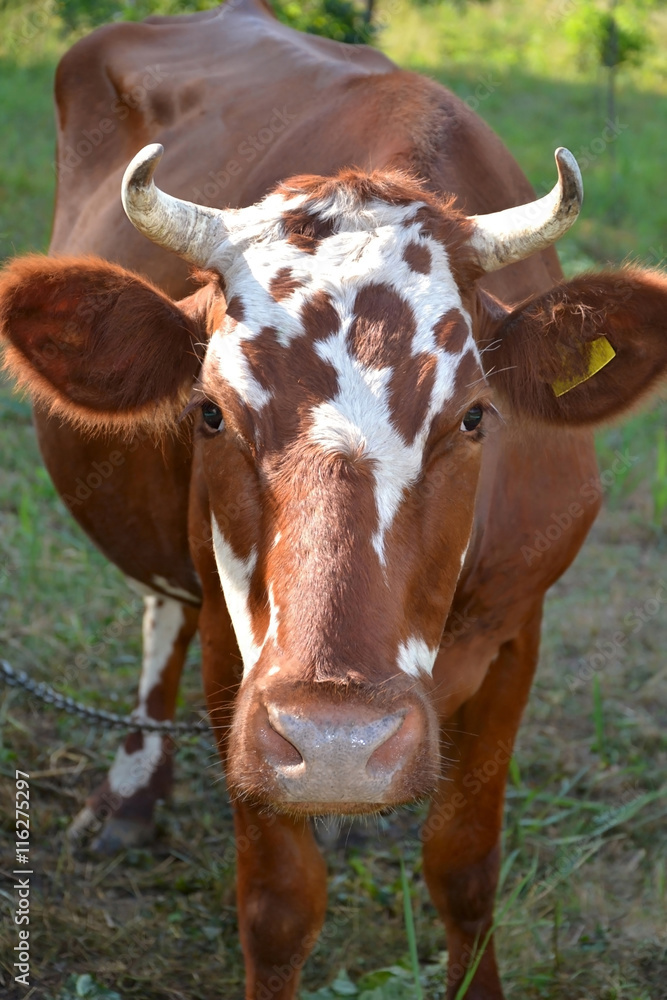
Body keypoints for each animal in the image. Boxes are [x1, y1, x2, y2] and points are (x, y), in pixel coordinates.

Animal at [1, 1, 667, 1000]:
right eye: (210, 410)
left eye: (476, 416)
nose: (339, 743)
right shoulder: (242, 675)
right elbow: (279, 906)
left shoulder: (520, 627)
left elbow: (464, 867)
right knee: (162, 609)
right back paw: (130, 792)